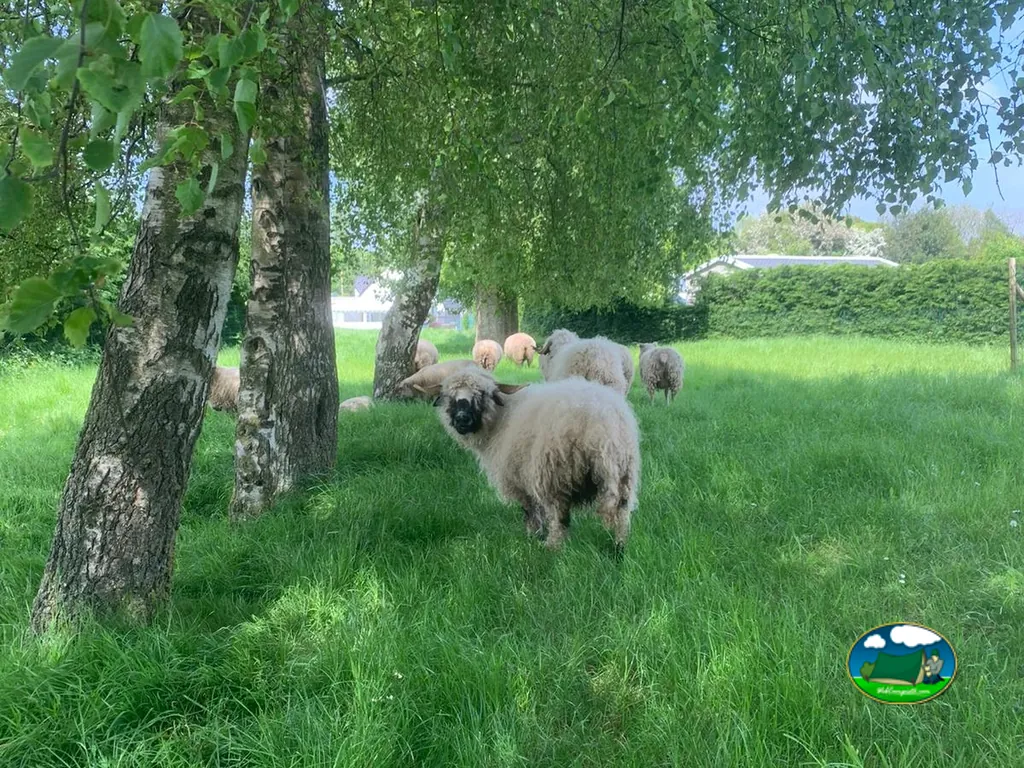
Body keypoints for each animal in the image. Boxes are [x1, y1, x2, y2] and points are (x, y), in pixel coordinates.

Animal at [429, 368, 640, 556]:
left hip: (557, 474)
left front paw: (533, 536)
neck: (500, 419)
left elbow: (530, 511)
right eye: (449, 396)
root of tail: (602, 423)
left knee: (559, 517)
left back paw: (552, 547)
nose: (462, 419)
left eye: (481, 393)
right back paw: (619, 548)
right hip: (624, 474)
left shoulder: (519, 478)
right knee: (622, 514)